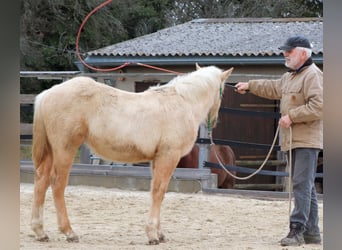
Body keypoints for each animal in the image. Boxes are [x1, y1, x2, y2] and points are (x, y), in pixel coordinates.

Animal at [30, 64, 234, 244]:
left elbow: (157, 191)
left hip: (51, 152)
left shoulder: (157, 158)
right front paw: (152, 235)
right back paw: (69, 232)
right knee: (57, 184)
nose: (215, 120)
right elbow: (159, 191)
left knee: (41, 182)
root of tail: (46, 95)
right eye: (222, 92)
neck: (182, 101)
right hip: (65, 149)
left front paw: (159, 233)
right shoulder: (168, 156)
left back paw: (40, 232)